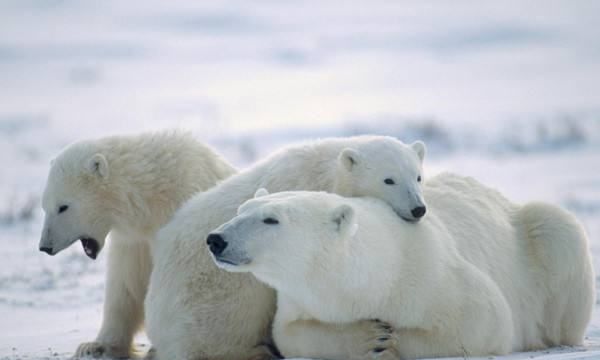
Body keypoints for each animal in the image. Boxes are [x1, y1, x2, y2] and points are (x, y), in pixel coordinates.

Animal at [211, 176, 596, 360]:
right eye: (241, 210)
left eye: (270, 219)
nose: (216, 239)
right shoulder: (300, 299)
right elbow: (290, 334)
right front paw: (370, 338)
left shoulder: (431, 274)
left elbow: (483, 320)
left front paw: (390, 340)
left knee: (558, 228)